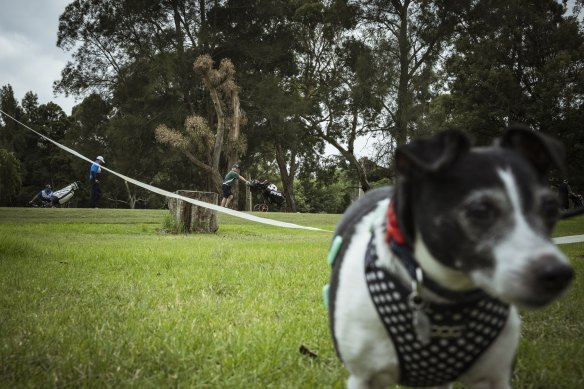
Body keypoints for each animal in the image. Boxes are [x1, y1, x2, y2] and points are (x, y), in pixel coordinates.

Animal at [324, 126, 576, 386]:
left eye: (551, 208)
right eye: (480, 210)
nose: (558, 273)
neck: (448, 294)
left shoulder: (493, 378)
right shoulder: (364, 378)